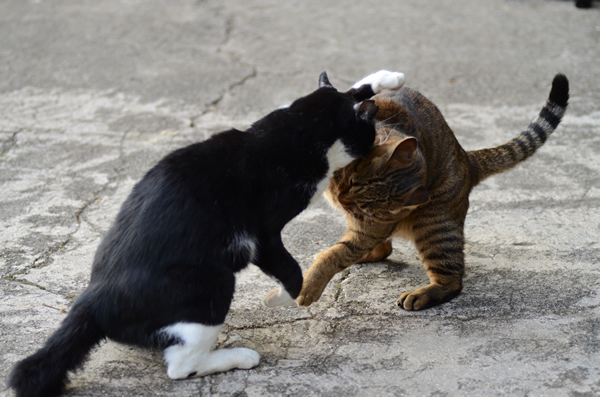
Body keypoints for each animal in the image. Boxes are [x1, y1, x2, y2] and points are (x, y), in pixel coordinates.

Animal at [7, 71, 406, 396]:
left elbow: (350, 88)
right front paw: (282, 297)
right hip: (214, 282)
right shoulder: (262, 233)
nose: (376, 139)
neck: (292, 131)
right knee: (181, 366)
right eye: (369, 134)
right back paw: (240, 356)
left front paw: (389, 78)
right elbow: (290, 271)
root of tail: (93, 298)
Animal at [292, 73, 568, 310]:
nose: (342, 200)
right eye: (351, 182)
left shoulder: (369, 226)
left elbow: (336, 254)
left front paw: (308, 287)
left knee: (452, 280)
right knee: (383, 250)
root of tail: (467, 158)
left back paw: (420, 295)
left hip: (434, 227)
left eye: (365, 205)